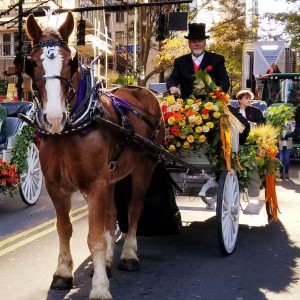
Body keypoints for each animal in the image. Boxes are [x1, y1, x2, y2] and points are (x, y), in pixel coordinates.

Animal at [24, 12, 165, 300]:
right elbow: (65, 228)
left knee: (133, 210)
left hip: (143, 168)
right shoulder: (56, 186)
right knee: (112, 217)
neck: (70, 130)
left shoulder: (96, 185)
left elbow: (95, 237)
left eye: (72, 61)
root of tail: (144, 90)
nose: (54, 118)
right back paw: (109, 261)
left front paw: (100, 288)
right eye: (31, 63)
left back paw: (129, 255)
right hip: (113, 178)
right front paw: (63, 273)